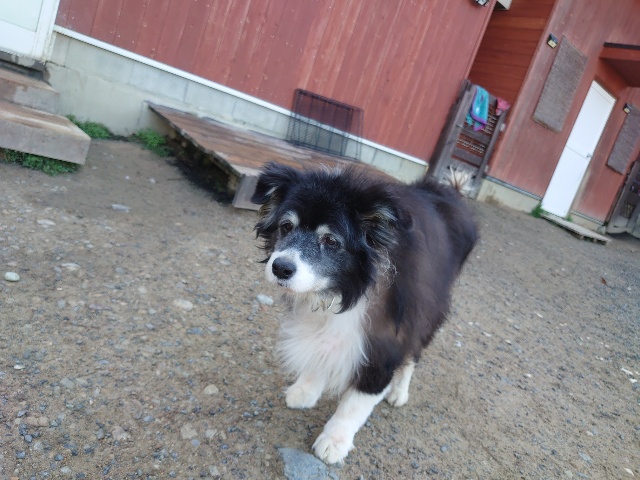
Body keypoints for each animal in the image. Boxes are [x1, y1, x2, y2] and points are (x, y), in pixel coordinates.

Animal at [251, 162, 478, 464]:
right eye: (286, 226)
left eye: (330, 240)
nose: (280, 268)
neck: (347, 290)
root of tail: (449, 191)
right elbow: (320, 349)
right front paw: (306, 390)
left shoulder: (385, 344)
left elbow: (356, 403)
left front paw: (334, 441)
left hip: (428, 311)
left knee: (413, 356)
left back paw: (399, 391)